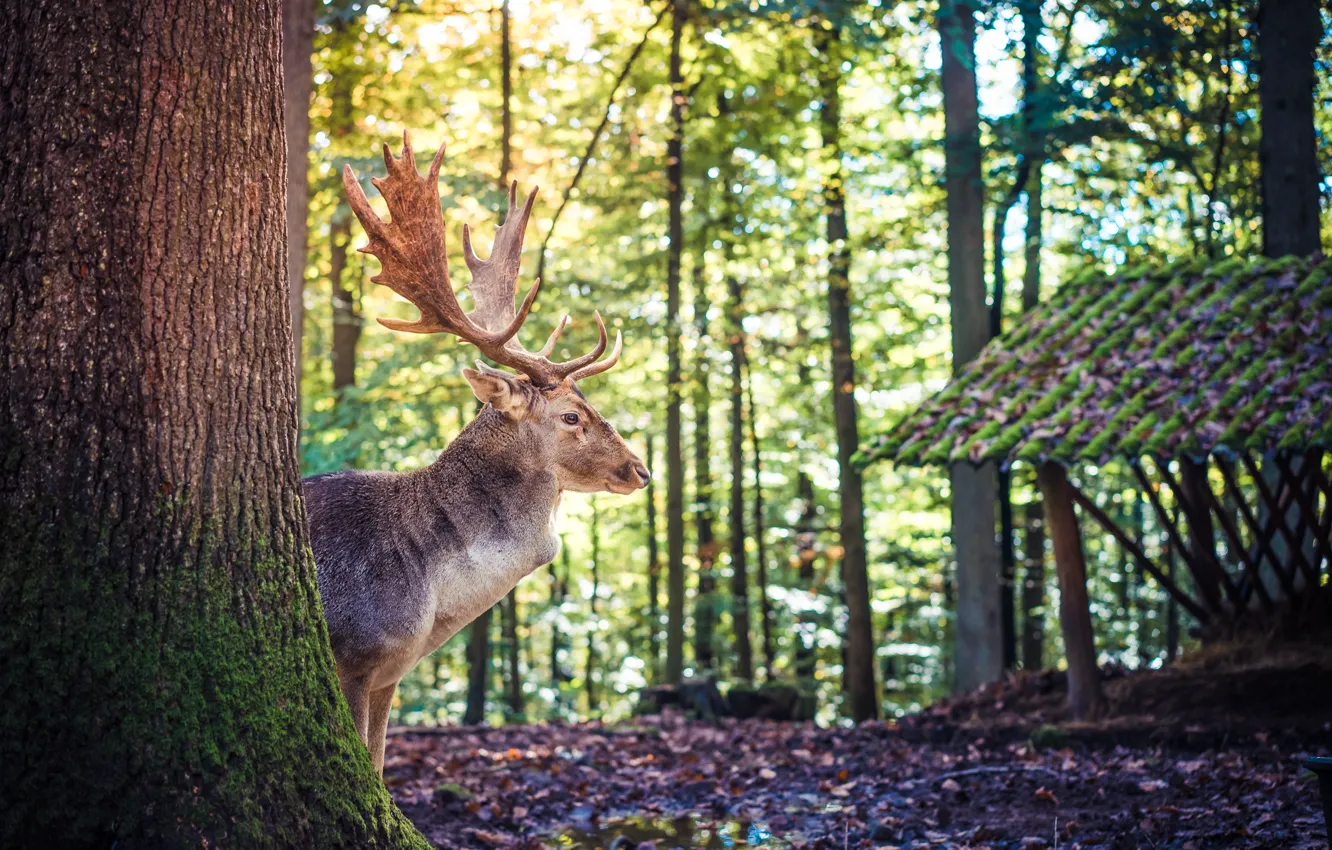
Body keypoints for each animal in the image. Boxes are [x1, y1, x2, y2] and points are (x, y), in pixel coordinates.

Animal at [306, 133, 650, 778]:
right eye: (572, 415)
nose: (641, 469)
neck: (424, 598)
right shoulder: (354, 654)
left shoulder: (389, 674)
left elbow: (379, 767)